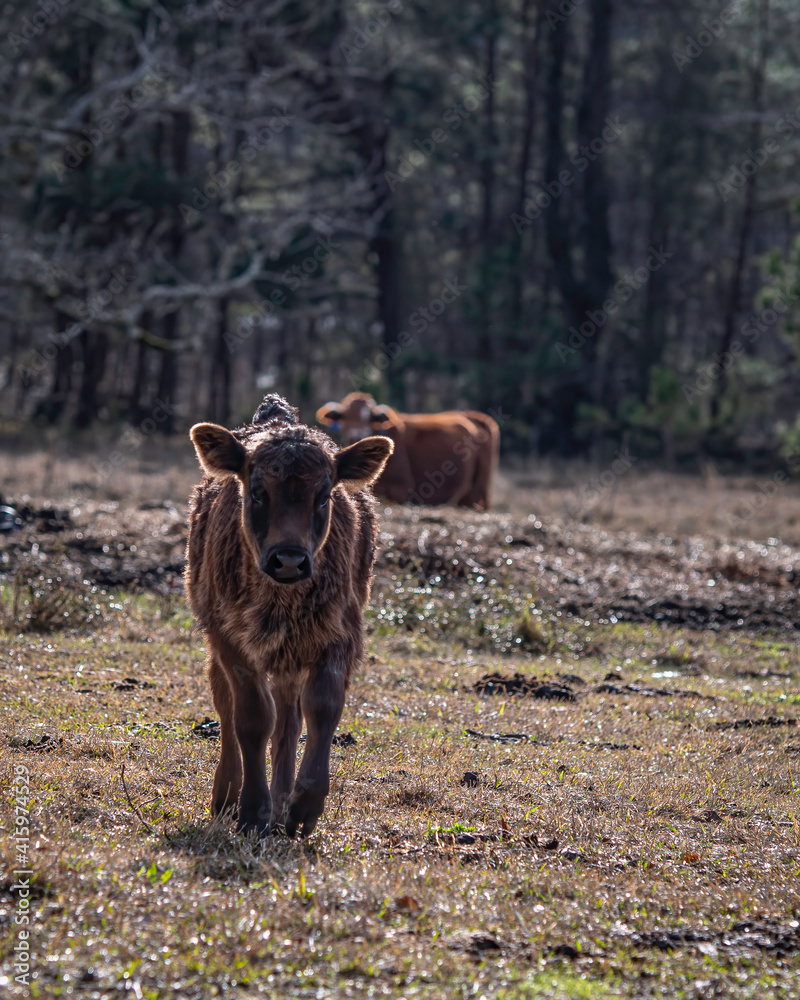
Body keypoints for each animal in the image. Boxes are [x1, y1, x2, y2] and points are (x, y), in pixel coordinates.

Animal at [184, 390, 390, 836]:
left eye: (324, 495)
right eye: (257, 491)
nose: (290, 560)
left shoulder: (338, 636)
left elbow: (321, 709)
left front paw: (301, 809)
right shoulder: (231, 643)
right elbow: (251, 718)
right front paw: (251, 812)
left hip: (290, 660)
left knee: (289, 721)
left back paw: (281, 804)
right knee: (228, 710)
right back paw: (227, 798)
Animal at [318, 392, 500, 512]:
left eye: (369, 418)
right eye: (345, 416)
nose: (355, 435)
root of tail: (473, 416)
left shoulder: (402, 489)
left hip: (480, 491)